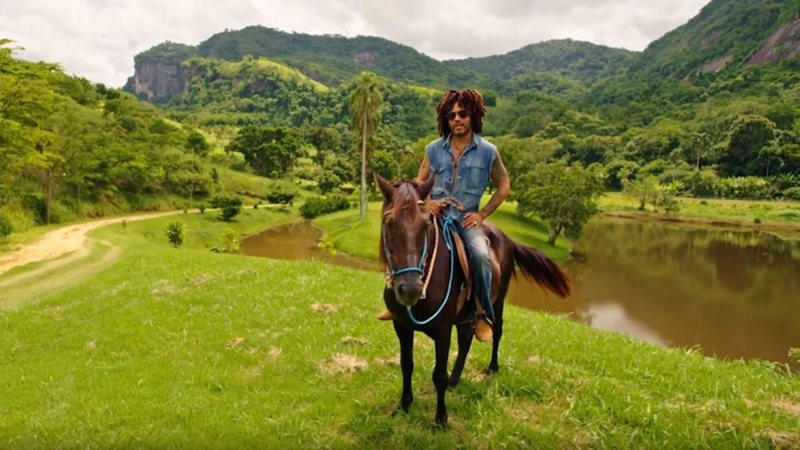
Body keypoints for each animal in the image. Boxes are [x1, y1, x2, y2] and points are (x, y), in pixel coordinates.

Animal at [378, 174, 572, 428]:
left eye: (427, 225)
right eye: (389, 222)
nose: (410, 289)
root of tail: (508, 239)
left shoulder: (442, 331)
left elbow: (438, 375)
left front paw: (441, 419)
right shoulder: (401, 325)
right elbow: (406, 365)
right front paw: (404, 405)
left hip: (498, 300)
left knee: (497, 330)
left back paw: (492, 367)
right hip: (465, 315)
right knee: (466, 339)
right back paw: (456, 378)